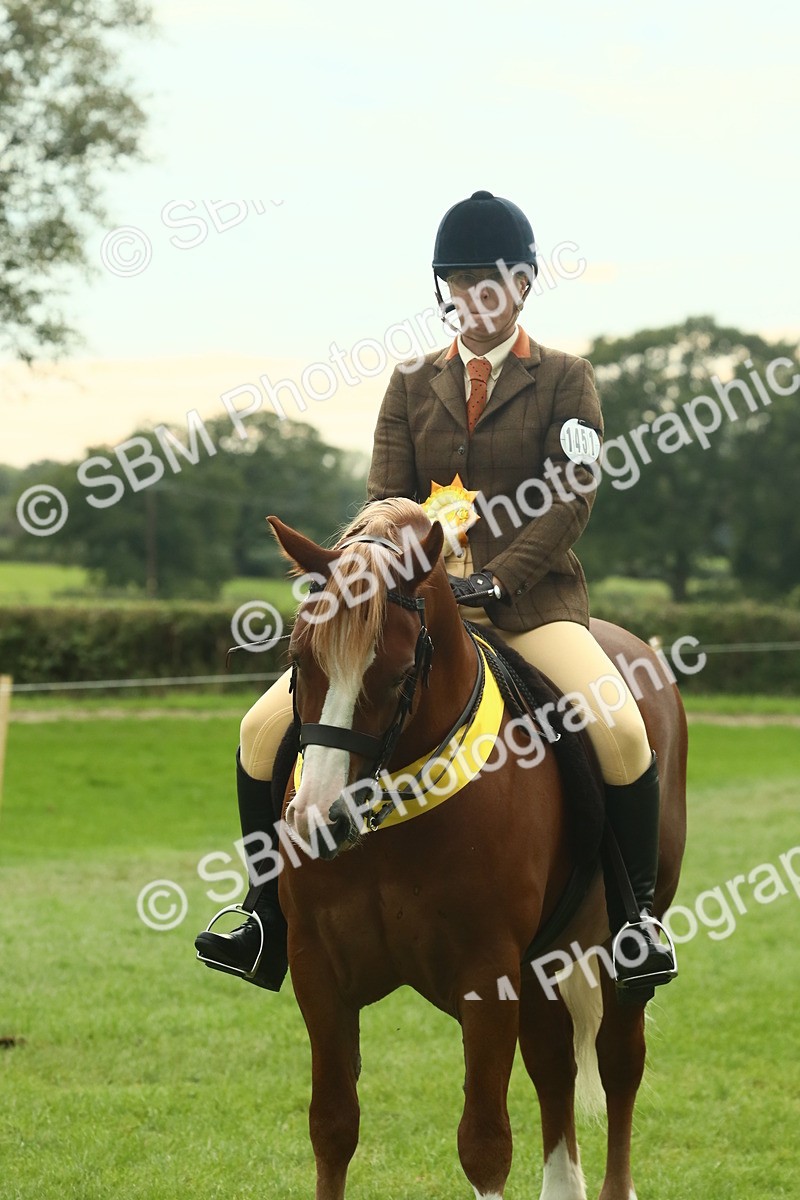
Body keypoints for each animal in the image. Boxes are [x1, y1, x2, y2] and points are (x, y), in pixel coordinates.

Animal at [267, 497, 687, 1200]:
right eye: (300, 659)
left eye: (401, 674)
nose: (319, 821)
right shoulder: (317, 970)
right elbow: (332, 1125)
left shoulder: (487, 975)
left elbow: (484, 1144)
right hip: (542, 956)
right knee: (553, 1061)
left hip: (614, 945)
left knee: (618, 1061)